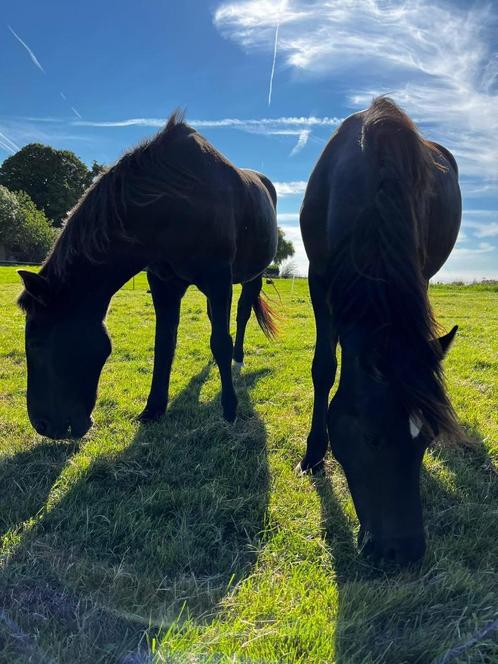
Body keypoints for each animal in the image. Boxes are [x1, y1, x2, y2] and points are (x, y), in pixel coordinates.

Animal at [17, 111, 278, 438]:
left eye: (36, 342)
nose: (42, 425)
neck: (173, 202)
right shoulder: (164, 284)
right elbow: (164, 344)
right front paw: (153, 409)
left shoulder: (218, 281)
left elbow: (221, 341)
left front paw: (229, 410)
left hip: (251, 277)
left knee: (242, 316)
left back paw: (238, 360)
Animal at [298, 97, 462, 564]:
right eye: (372, 439)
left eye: (425, 440)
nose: (403, 553)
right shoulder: (318, 277)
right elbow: (323, 367)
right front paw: (313, 454)